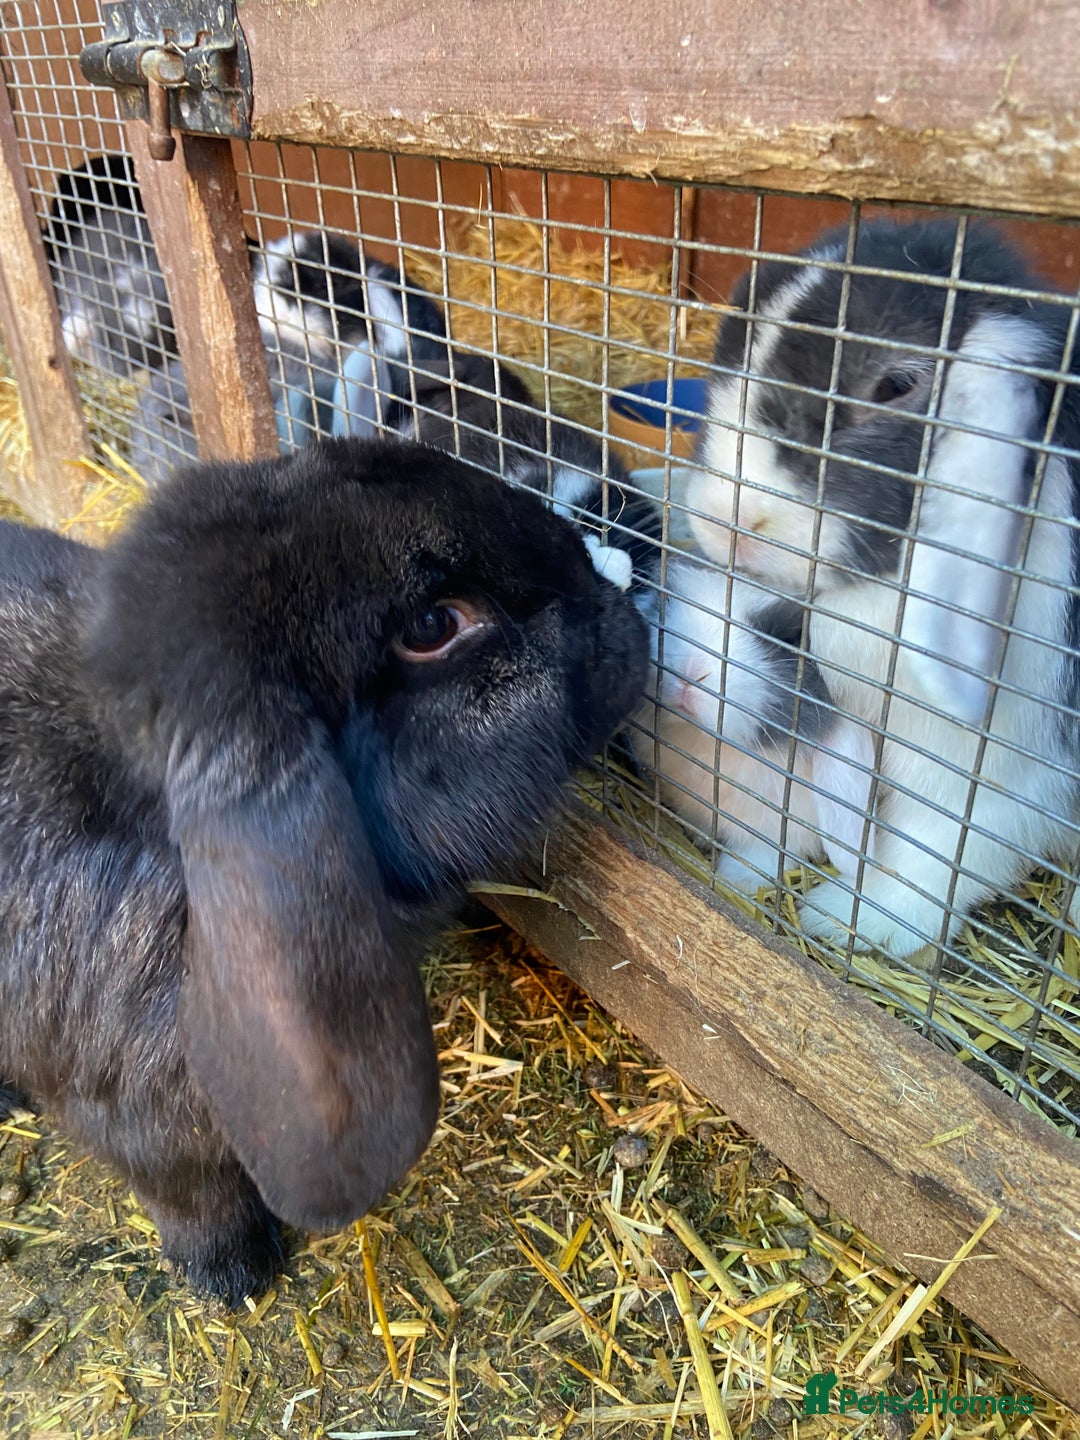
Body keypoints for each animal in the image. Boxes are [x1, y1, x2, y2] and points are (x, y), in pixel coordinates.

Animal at [629, 555, 875, 894]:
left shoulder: (774, 833)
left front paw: (738, 879)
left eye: (788, 639)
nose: (690, 672)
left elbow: (758, 858)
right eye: (667, 600)